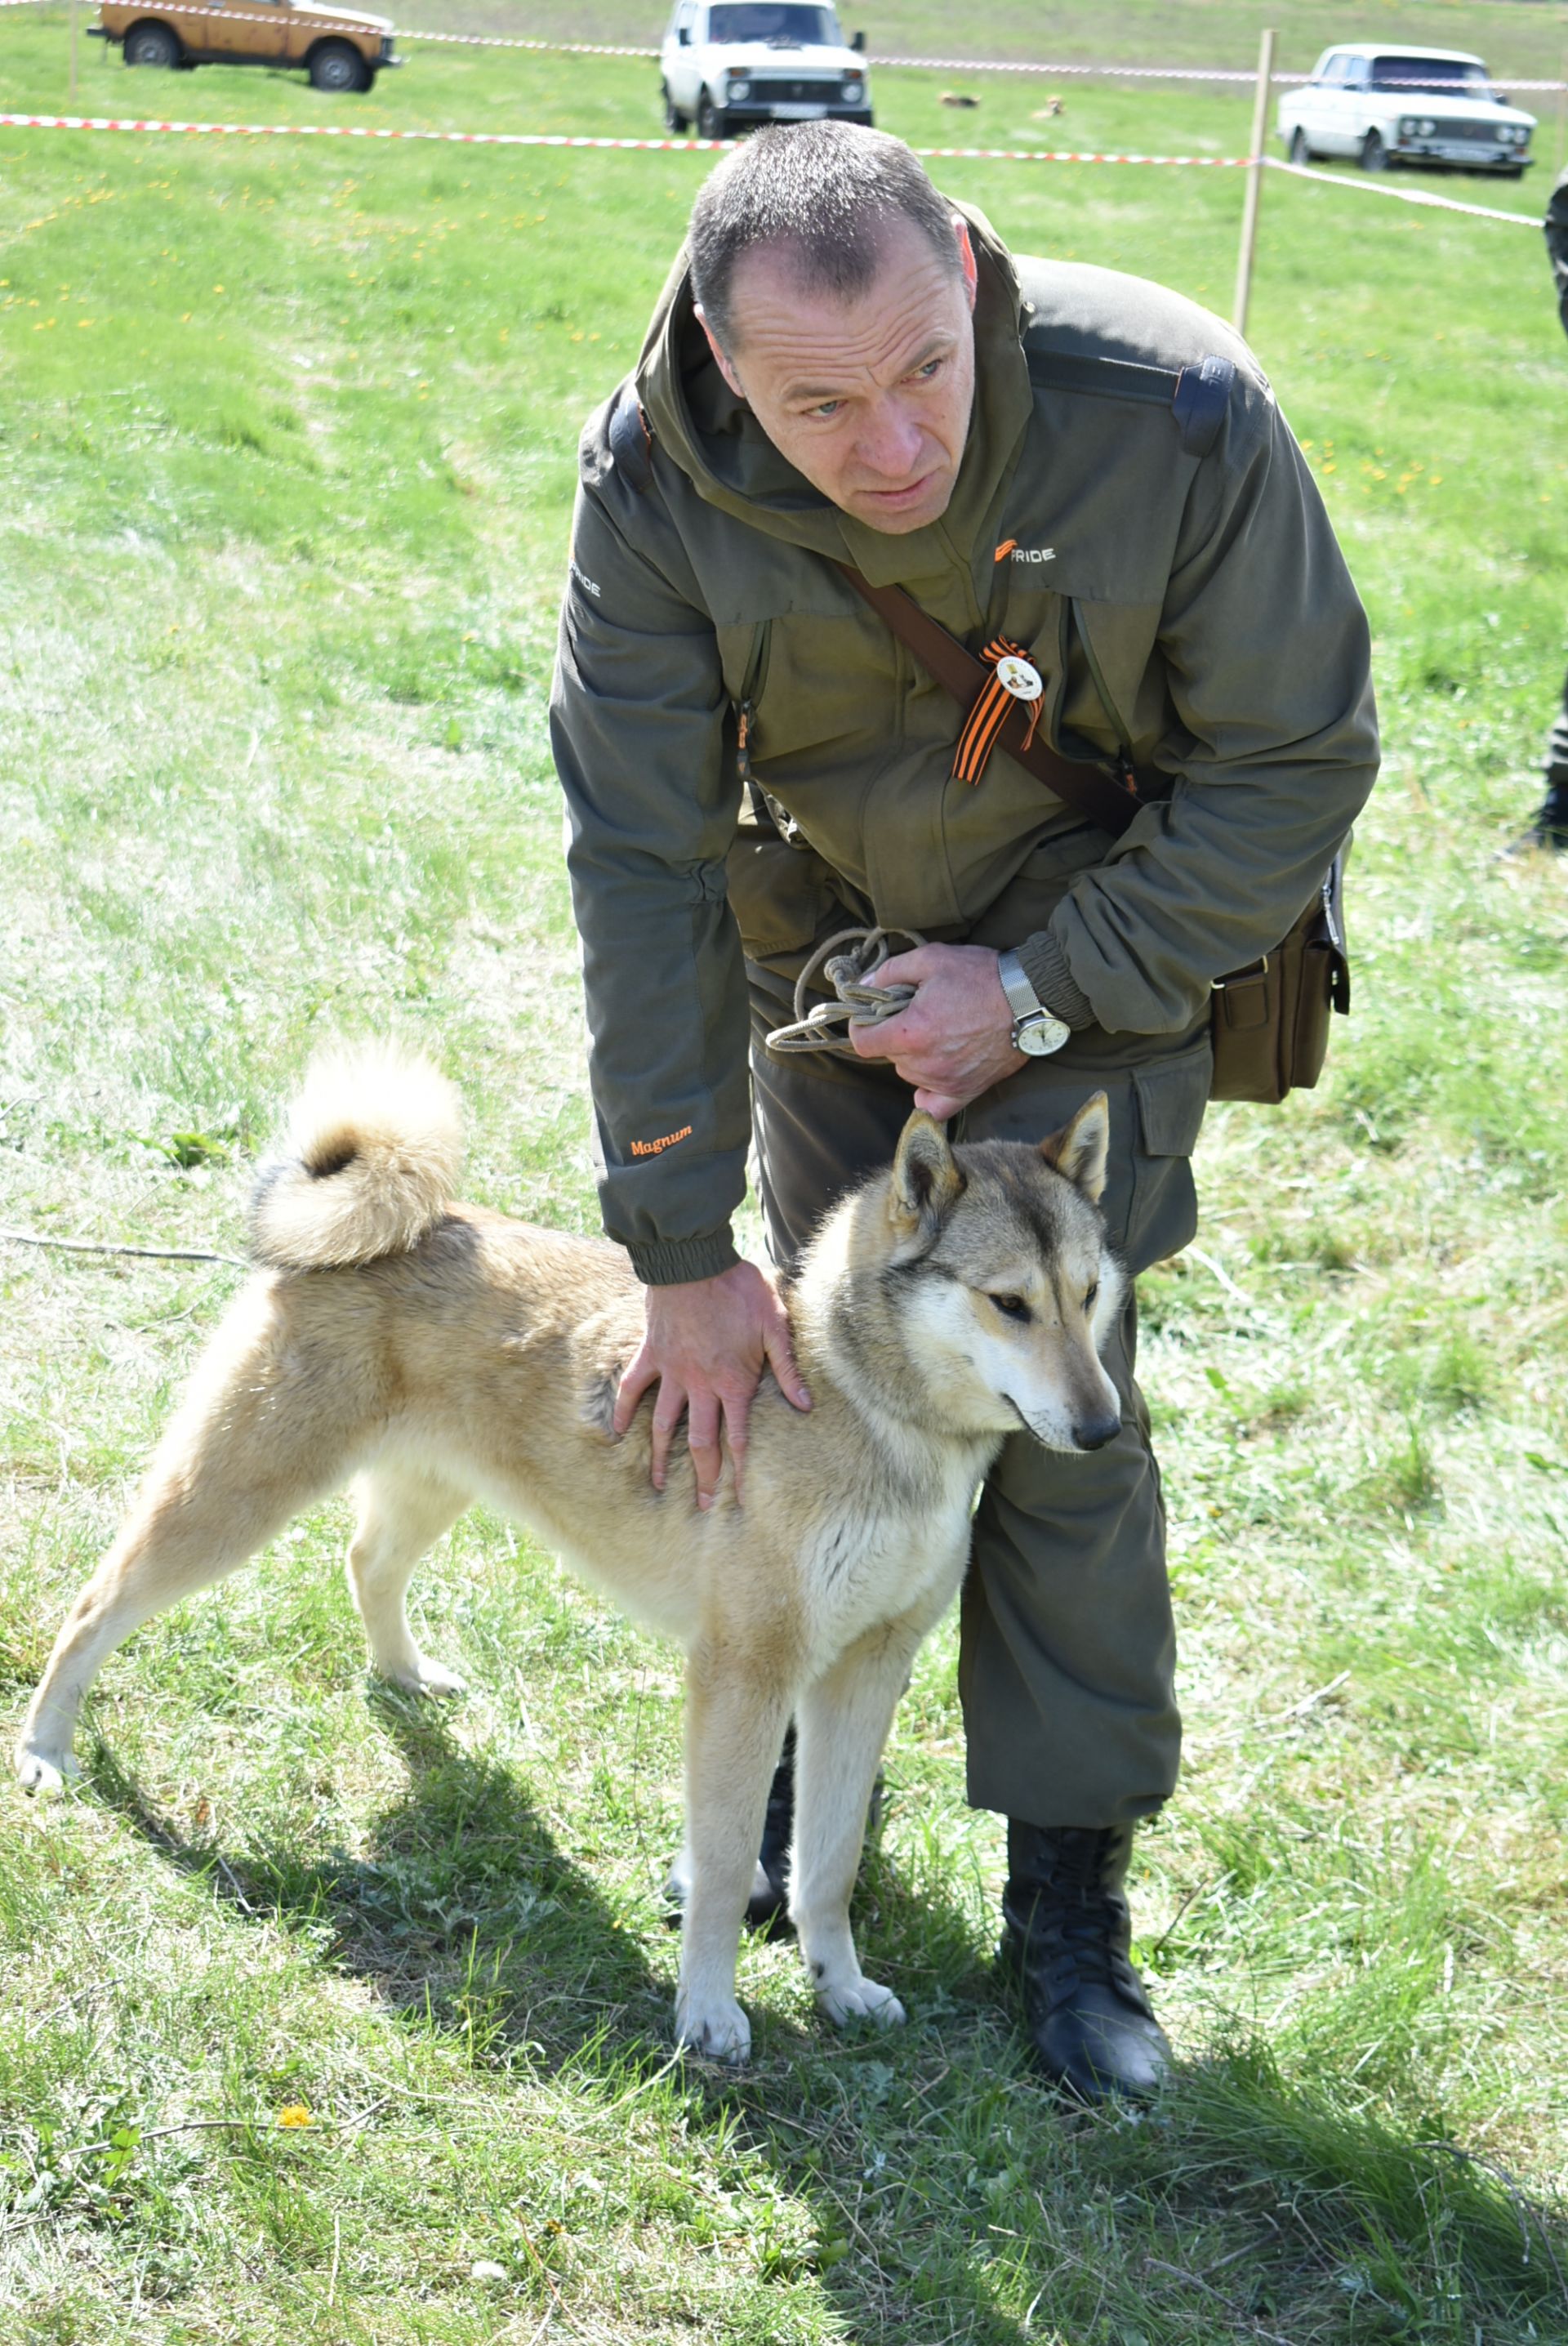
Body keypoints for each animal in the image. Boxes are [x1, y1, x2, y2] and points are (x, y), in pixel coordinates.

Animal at [9, 1055, 1111, 2064]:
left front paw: (838, 1986)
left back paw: (403, 1675)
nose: (1105, 1428)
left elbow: (828, 1864)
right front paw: (708, 2011)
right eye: (1010, 1304)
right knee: (95, 1604)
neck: (873, 1411)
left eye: (1093, 1295)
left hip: (427, 1488)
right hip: (234, 1500)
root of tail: (384, 1227)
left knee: (365, 1562)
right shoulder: (746, 1675)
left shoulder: (866, 1671)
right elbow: (723, 1868)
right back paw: (46, 1751)